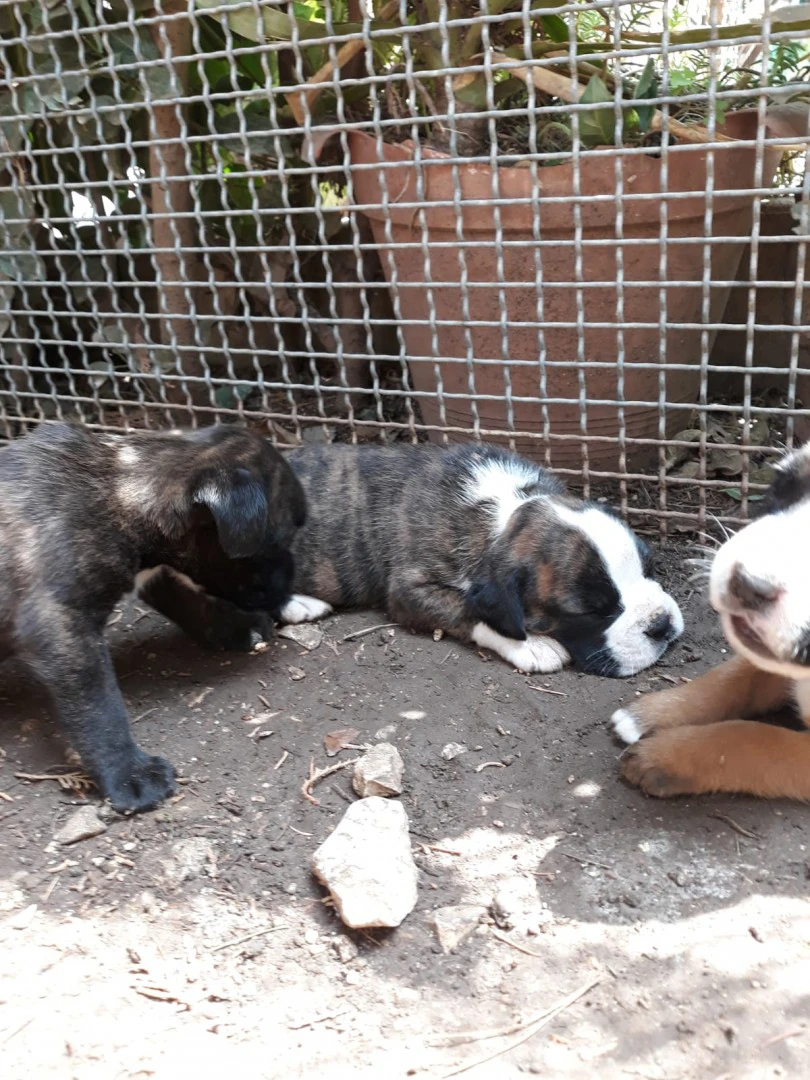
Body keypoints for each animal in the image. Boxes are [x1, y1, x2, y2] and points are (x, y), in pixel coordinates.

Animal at [1, 421, 306, 812]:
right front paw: (130, 774)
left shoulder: (155, 573)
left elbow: (191, 602)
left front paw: (239, 627)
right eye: (281, 538)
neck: (121, 488)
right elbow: (101, 710)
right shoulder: (64, 630)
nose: (291, 579)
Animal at [278, 438, 686, 673]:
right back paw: (298, 604)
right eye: (591, 611)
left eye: (650, 568)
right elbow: (470, 610)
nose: (661, 625)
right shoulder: (410, 590)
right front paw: (533, 645)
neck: (508, 508)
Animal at [613, 440, 810, 803]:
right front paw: (652, 713)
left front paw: (666, 757)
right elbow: (736, 676)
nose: (749, 584)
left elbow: (753, 739)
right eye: (780, 484)